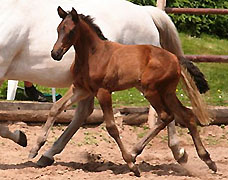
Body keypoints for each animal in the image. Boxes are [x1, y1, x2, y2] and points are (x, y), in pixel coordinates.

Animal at [0, 0, 208, 164]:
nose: (55, 53)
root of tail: (146, 13)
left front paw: (20, 137)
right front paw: (22, 138)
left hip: (148, 86)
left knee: (166, 114)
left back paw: (175, 152)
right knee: (83, 113)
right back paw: (47, 155)